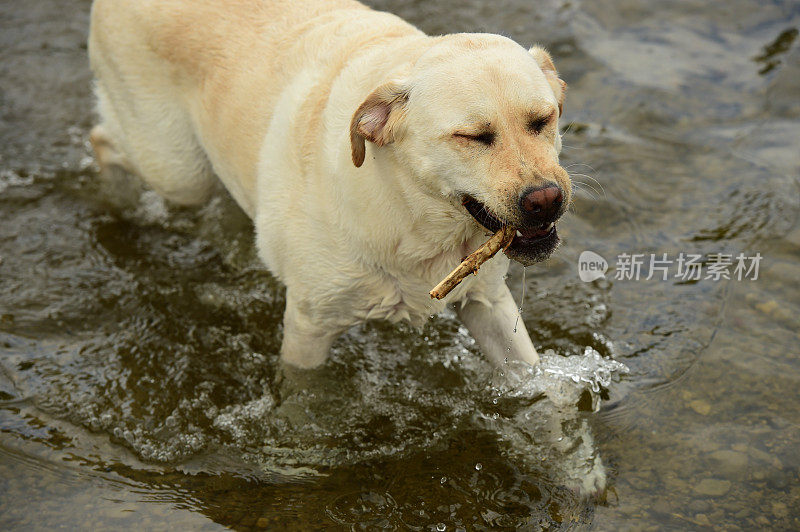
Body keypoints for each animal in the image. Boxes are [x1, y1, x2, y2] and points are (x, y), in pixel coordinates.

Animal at [89, 0, 568, 372]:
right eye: (473, 137)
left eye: (543, 120)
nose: (547, 200)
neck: (411, 214)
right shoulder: (308, 327)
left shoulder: (489, 302)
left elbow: (543, 398)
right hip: (178, 170)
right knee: (104, 141)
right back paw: (118, 205)